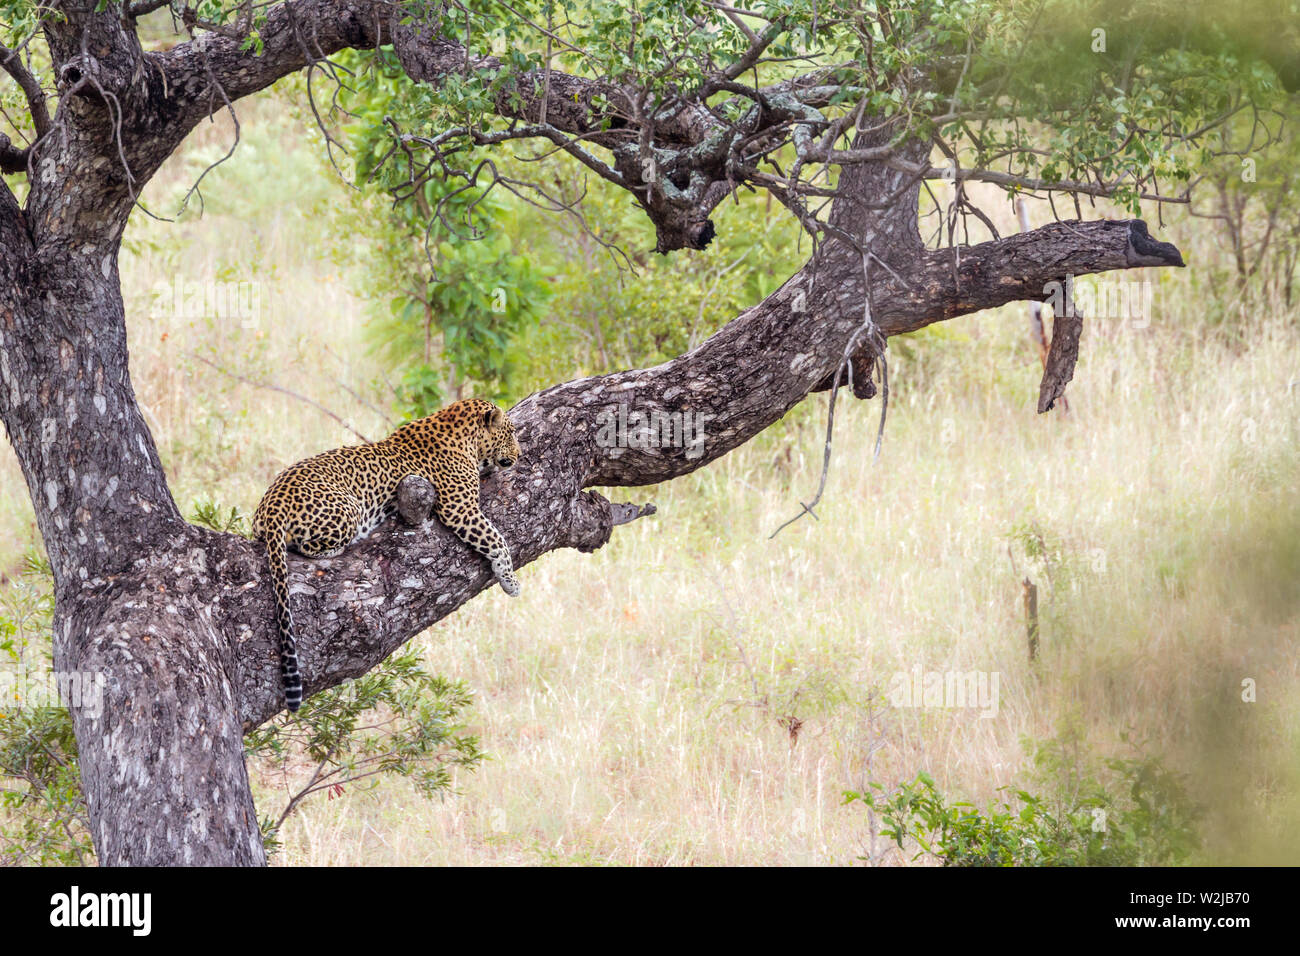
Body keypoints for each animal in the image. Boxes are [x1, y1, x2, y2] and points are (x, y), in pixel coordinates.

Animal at [252, 398, 522, 712]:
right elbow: (496, 539)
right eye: (510, 433)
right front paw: (510, 581)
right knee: (307, 546)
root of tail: (271, 506)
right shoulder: (461, 509)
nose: (519, 455)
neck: (465, 434)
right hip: (349, 509)